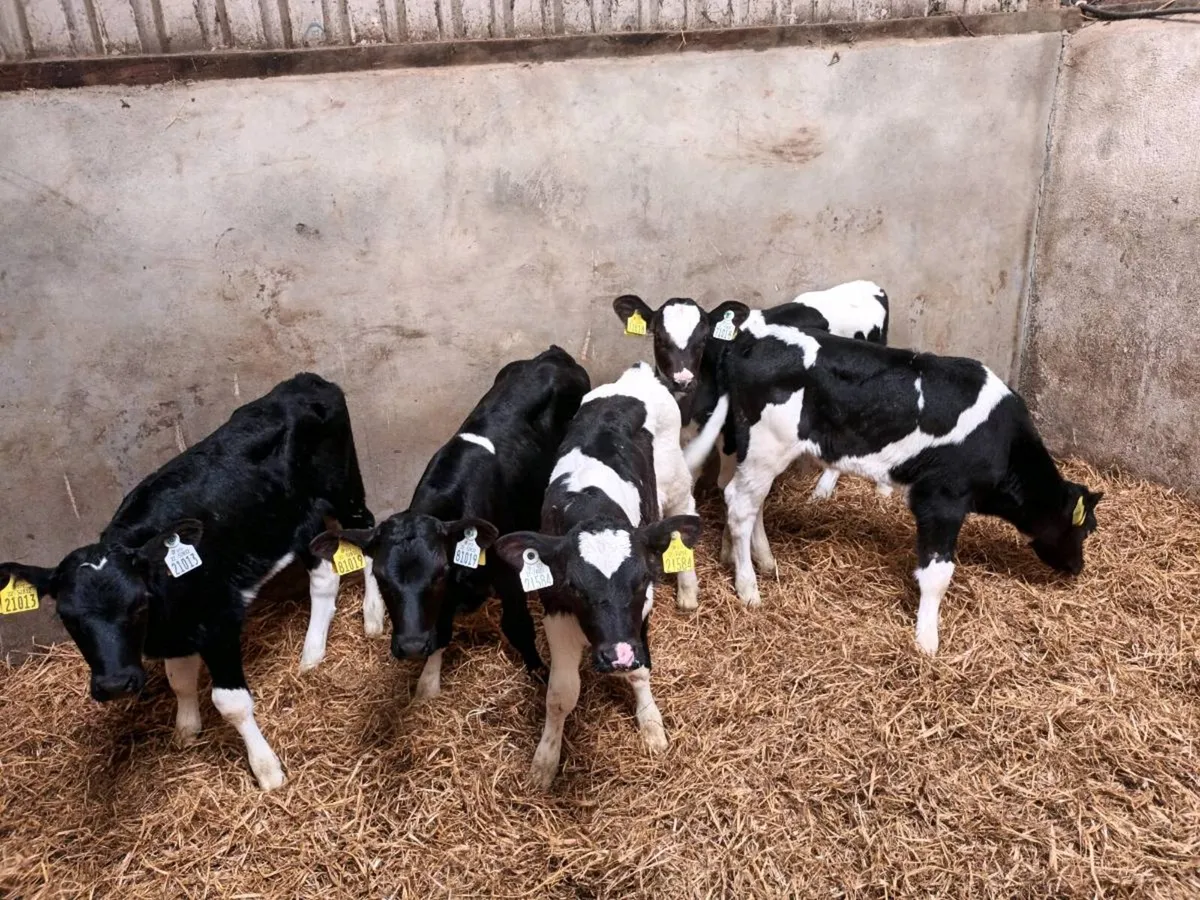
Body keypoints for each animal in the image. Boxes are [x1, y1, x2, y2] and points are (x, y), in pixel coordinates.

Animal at [0, 373, 375, 790]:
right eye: (67, 617)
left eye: (138, 605)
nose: (115, 684)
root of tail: (305, 380)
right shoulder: (177, 632)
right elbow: (179, 680)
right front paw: (186, 728)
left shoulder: (219, 621)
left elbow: (231, 703)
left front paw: (266, 769)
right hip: (296, 518)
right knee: (323, 576)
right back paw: (311, 654)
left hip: (346, 489)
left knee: (369, 531)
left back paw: (373, 616)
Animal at [308, 346, 590, 701]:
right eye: (381, 578)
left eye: (439, 573)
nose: (412, 646)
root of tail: (552, 354)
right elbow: (441, 629)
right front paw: (428, 681)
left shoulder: (507, 572)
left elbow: (517, 625)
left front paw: (538, 670)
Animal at [492, 362, 702, 789]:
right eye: (575, 588)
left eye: (640, 582)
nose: (615, 655)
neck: (592, 505)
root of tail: (635, 375)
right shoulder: (555, 610)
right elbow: (561, 694)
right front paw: (545, 760)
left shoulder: (641, 615)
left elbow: (640, 671)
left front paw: (651, 725)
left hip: (673, 478)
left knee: (682, 515)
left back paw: (688, 591)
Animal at [613, 279, 889, 501]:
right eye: (659, 337)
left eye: (702, 340)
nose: (682, 380)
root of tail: (871, 287)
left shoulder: (733, 433)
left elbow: (723, 482)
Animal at [684, 304, 1102, 655]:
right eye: (1085, 529)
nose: (1077, 568)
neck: (1004, 445)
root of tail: (750, 334)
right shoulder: (942, 497)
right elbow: (938, 573)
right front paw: (927, 640)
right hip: (767, 445)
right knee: (740, 505)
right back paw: (749, 588)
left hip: (757, 451)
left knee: (751, 502)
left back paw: (767, 562)